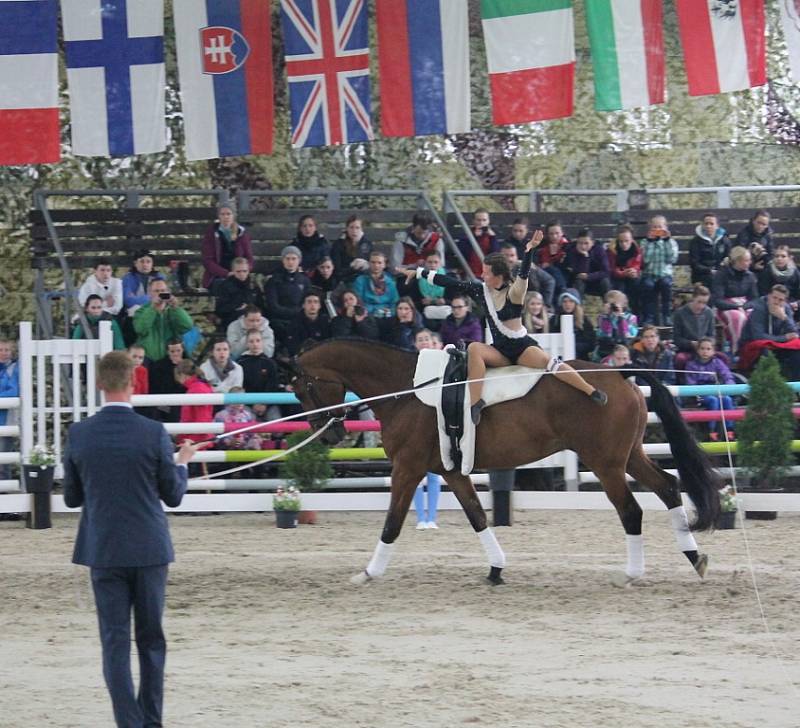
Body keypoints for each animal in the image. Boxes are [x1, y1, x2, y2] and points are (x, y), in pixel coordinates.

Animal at [290, 340, 720, 584]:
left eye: (303, 388)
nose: (328, 435)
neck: (406, 389)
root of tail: (620, 372)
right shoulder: (450, 471)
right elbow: (477, 516)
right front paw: (496, 569)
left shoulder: (408, 469)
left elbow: (392, 524)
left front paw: (368, 573)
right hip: (628, 456)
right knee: (667, 487)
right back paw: (695, 558)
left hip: (606, 463)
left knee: (631, 510)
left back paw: (633, 573)